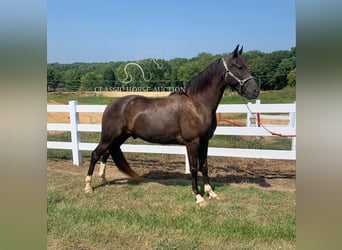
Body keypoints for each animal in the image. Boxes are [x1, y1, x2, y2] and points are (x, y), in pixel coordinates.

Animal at [85, 45, 260, 205]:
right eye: (239, 66)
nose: (255, 91)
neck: (197, 104)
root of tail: (111, 104)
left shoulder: (205, 141)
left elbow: (204, 166)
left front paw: (211, 193)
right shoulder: (192, 143)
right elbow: (194, 168)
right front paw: (198, 196)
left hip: (119, 137)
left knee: (106, 154)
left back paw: (103, 180)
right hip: (109, 137)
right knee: (95, 154)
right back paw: (88, 187)